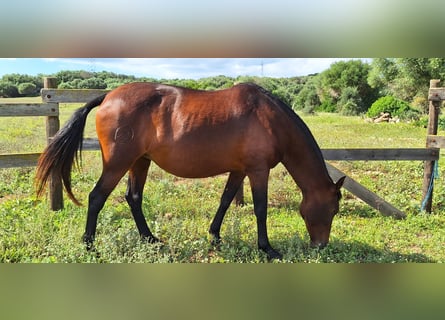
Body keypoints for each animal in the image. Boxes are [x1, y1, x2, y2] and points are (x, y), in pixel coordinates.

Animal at [36, 81, 346, 258]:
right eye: (333, 210)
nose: (321, 246)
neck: (270, 119)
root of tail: (109, 96)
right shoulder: (258, 171)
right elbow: (260, 209)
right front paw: (267, 248)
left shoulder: (239, 170)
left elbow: (225, 200)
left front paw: (215, 236)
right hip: (118, 163)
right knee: (97, 197)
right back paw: (90, 246)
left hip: (140, 161)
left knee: (133, 198)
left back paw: (150, 239)